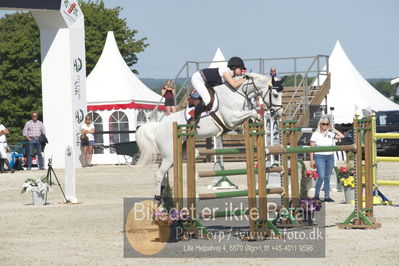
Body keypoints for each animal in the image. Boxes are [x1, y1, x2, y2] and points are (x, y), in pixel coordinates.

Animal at [136, 72, 282, 197]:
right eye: (275, 94)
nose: (278, 114)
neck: (237, 93)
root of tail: (158, 126)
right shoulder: (231, 119)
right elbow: (252, 113)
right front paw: (257, 117)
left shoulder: (234, 123)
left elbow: (246, 121)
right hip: (170, 155)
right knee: (158, 174)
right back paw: (158, 198)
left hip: (177, 155)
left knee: (163, 171)